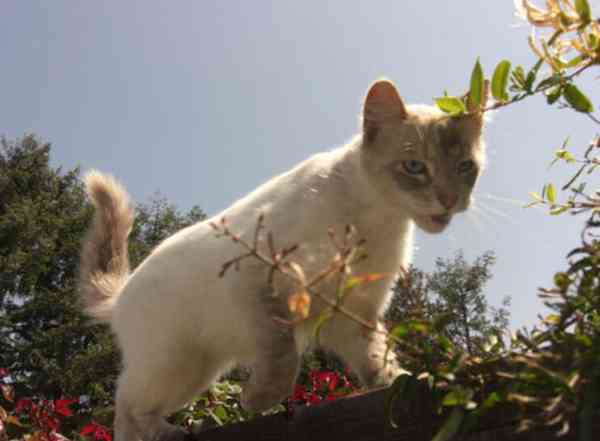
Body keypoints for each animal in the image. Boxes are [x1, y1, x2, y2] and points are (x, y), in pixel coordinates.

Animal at [79, 79, 487, 441]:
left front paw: (399, 383)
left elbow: (377, 360)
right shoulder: (260, 283)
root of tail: (123, 291)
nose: (450, 200)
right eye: (415, 167)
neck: (377, 220)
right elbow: (283, 355)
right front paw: (257, 400)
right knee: (126, 404)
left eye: (466, 167)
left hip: (198, 370)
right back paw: (165, 432)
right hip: (174, 363)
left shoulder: (353, 311)